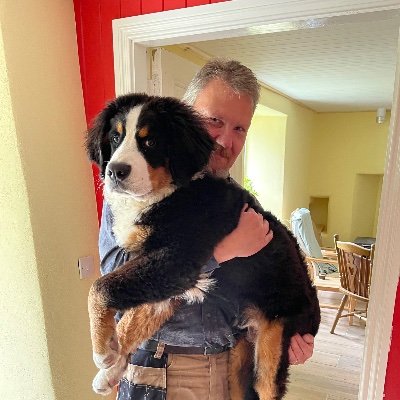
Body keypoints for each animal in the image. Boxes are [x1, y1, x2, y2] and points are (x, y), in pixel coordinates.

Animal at [86, 94, 320, 400]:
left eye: (151, 142)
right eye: (115, 137)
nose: (115, 171)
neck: (169, 194)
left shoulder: (177, 260)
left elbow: (100, 288)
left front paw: (102, 351)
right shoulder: (166, 282)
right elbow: (134, 319)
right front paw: (111, 366)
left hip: (276, 340)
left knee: (267, 386)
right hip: (239, 359)